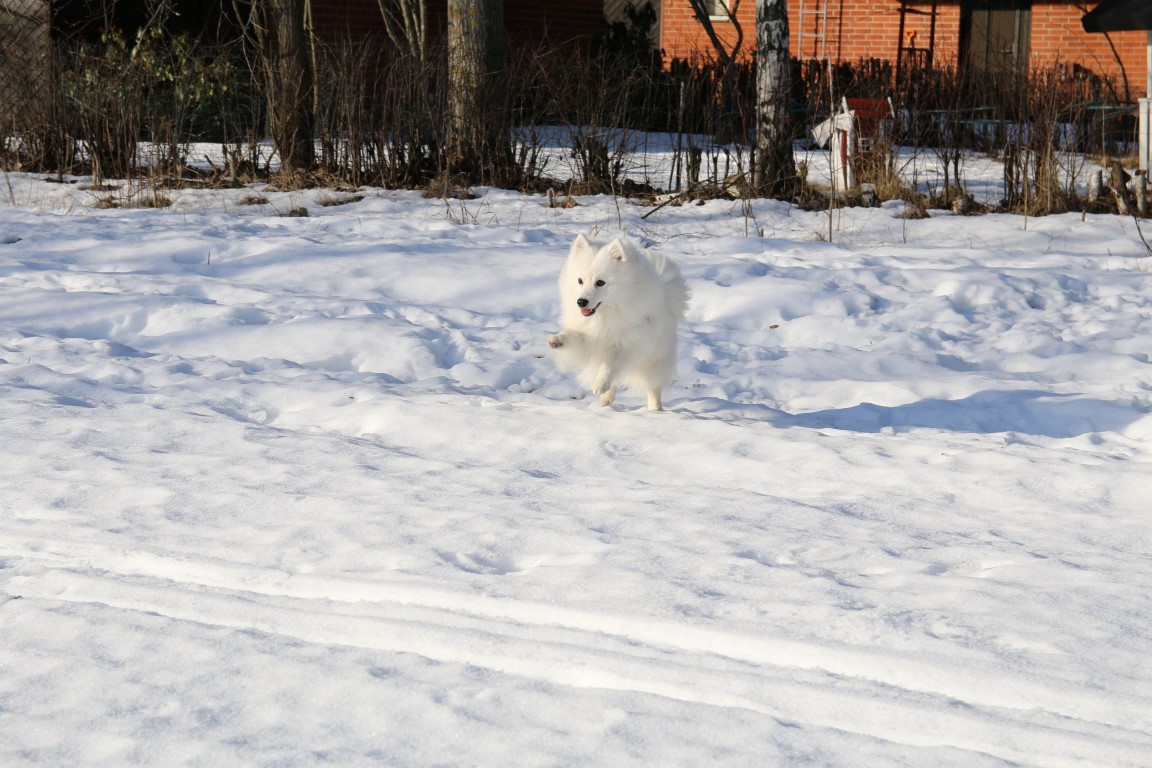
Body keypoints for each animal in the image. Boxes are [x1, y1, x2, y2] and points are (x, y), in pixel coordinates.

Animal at [546, 236, 686, 412]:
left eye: (600, 283)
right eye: (580, 281)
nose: (581, 302)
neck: (606, 314)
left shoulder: (625, 344)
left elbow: (609, 364)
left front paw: (599, 384)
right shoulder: (588, 337)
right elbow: (571, 334)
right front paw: (556, 340)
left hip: (654, 359)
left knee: (653, 388)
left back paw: (654, 410)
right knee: (615, 384)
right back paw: (604, 402)